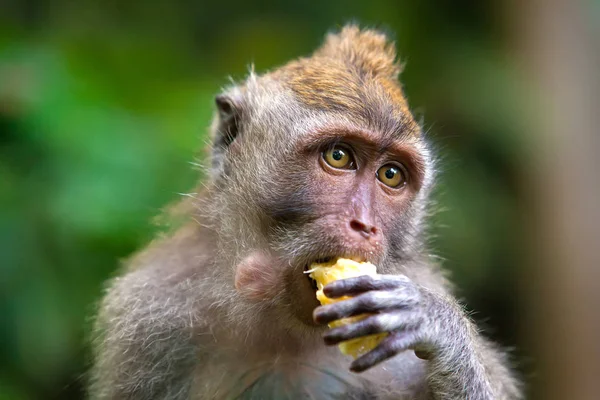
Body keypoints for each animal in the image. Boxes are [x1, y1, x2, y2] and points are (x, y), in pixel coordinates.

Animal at [88, 25, 520, 400]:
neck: (282, 328)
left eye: (391, 175)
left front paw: (436, 324)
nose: (365, 226)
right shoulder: (149, 315)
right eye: (339, 156)